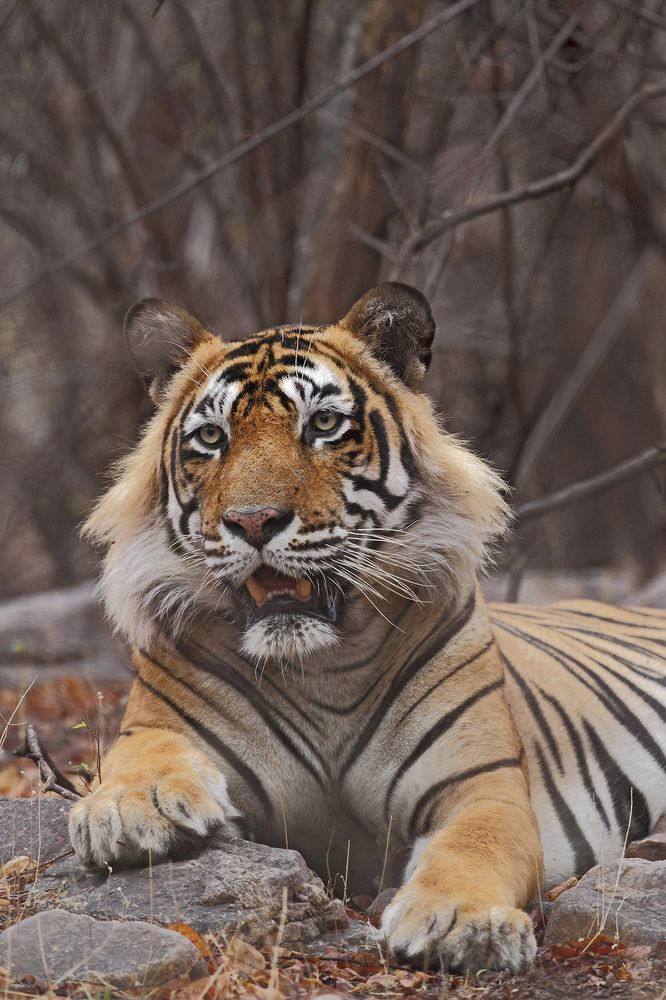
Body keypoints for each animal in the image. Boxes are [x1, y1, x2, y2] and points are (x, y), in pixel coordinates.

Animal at [69, 283, 666, 974]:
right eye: (212, 437)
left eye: (323, 425)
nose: (253, 521)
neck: (321, 665)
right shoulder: (160, 724)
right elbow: (141, 754)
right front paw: (130, 808)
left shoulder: (483, 787)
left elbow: (476, 846)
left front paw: (461, 921)